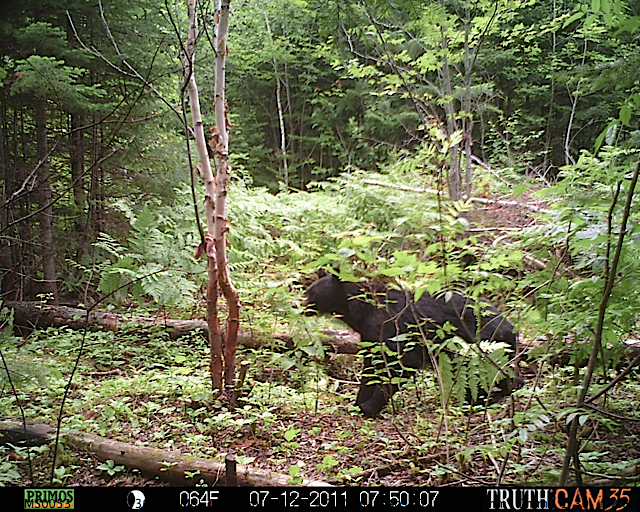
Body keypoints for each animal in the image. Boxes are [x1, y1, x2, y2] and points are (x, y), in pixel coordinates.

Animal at [302, 272, 516, 416]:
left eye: (311, 292)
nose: (301, 305)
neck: (362, 310)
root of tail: (509, 324)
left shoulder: (391, 331)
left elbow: (402, 365)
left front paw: (369, 407)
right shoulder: (371, 337)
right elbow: (370, 370)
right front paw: (356, 404)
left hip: (480, 345)